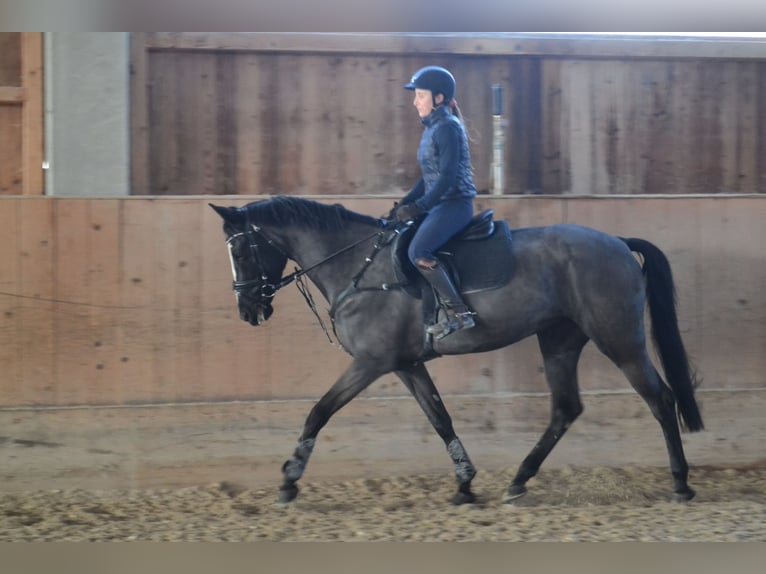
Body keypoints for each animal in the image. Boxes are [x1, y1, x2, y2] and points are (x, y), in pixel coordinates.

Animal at [210, 196, 703, 505]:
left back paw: (680, 483)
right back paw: (518, 481)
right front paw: (465, 485)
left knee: (660, 399)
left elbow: (319, 411)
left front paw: (289, 480)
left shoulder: (371, 363)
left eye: (243, 252)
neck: (357, 268)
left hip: (618, 339)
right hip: (559, 340)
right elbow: (439, 418)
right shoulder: (406, 364)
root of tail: (618, 242)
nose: (248, 309)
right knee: (565, 409)